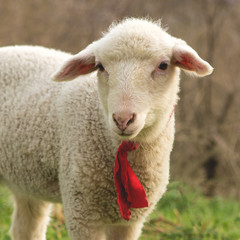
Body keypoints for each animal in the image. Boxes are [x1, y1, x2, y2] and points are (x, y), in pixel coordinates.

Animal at [0, 17, 214, 240]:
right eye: (100, 66)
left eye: (163, 65)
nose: (122, 119)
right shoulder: (81, 208)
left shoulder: (130, 220)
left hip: (26, 181)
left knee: (25, 229)